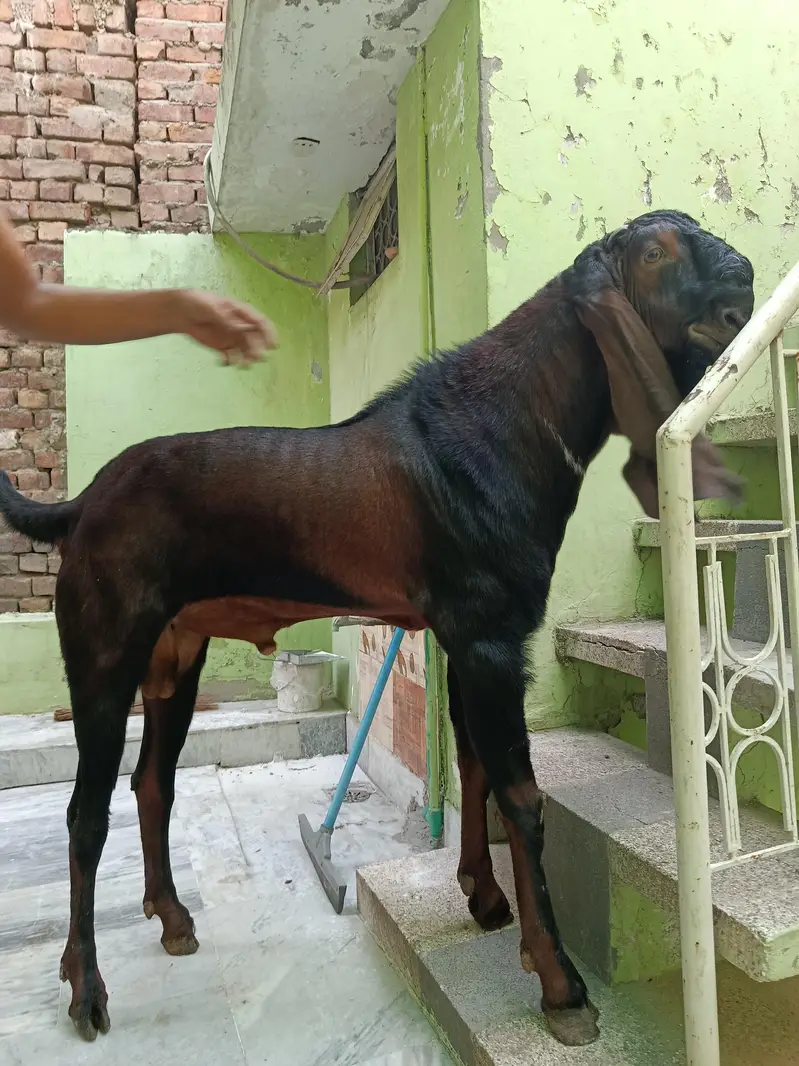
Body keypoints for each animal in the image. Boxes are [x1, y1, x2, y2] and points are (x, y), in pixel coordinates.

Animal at [0, 209, 754, 1046]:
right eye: (654, 253)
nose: (747, 282)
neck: (505, 423)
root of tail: (81, 506)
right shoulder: (490, 638)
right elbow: (521, 796)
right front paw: (559, 983)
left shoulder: (462, 640)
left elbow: (473, 766)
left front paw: (482, 897)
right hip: (105, 646)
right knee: (84, 813)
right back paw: (85, 986)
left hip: (176, 654)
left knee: (152, 782)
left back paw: (171, 916)